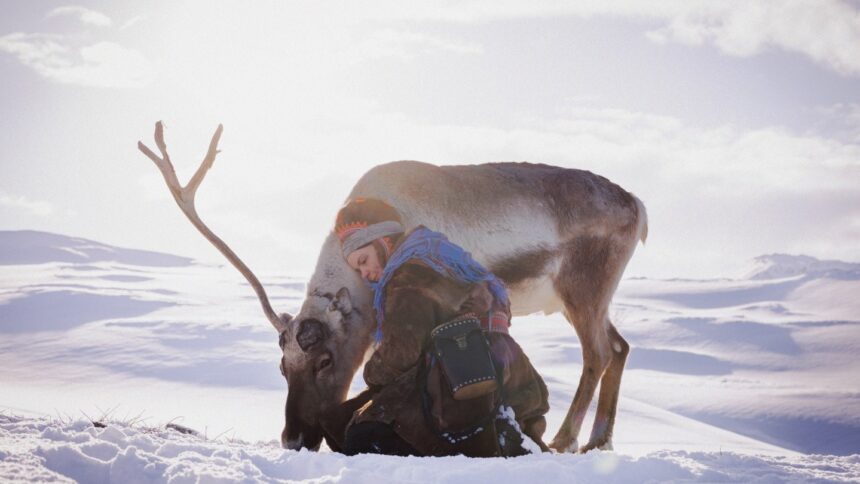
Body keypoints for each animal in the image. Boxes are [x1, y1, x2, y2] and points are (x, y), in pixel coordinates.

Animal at [137, 121, 648, 454]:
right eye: (282, 366)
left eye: (326, 359)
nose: (294, 440)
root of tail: (637, 206)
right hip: (589, 298)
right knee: (621, 346)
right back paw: (600, 440)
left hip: (583, 288)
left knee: (599, 353)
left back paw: (566, 439)